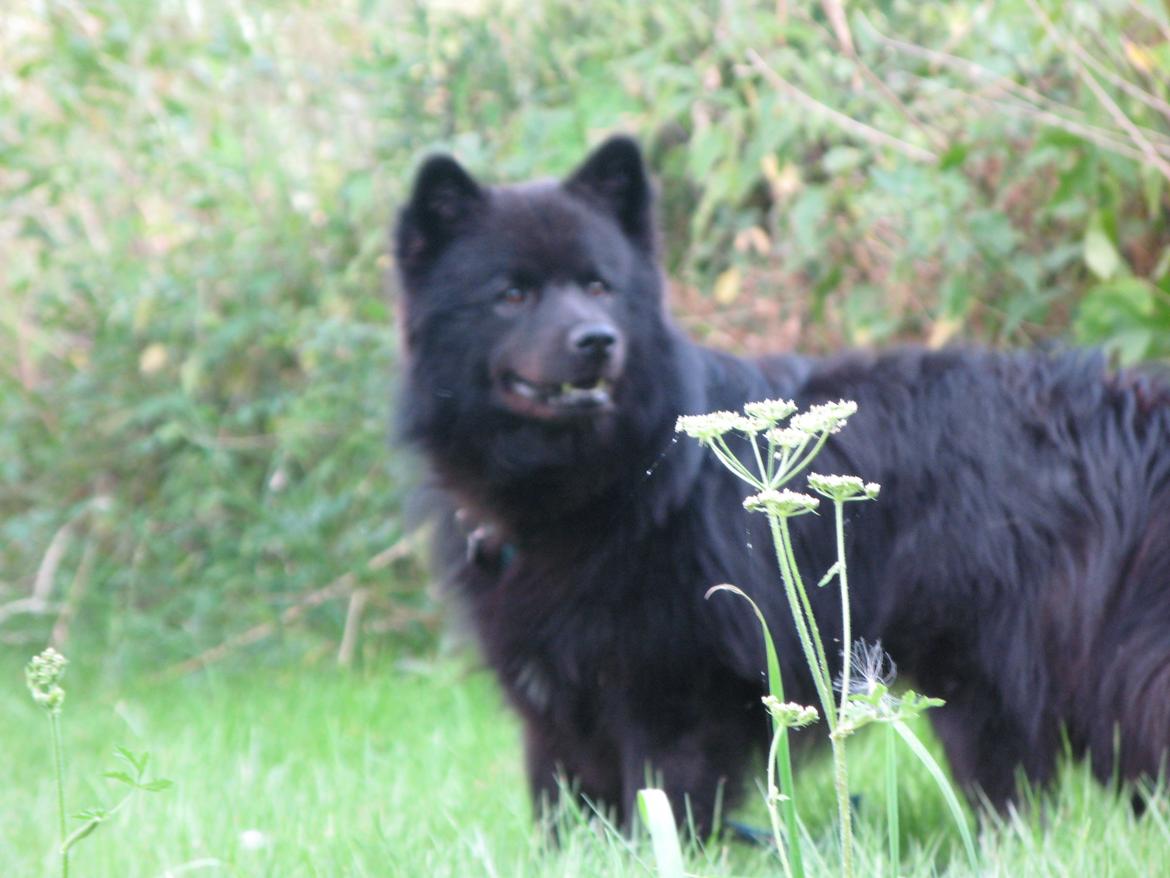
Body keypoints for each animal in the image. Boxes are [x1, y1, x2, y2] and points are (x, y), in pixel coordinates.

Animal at [393, 135, 1170, 833]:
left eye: (597, 286)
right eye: (512, 294)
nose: (596, 341)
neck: (604, 484)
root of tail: (1111, 407)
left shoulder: (670, 696)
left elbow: (662, 807)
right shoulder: (559, 711)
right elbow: (565, 815)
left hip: (992, 676)